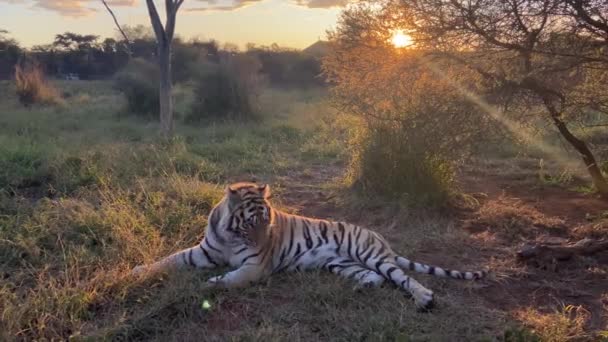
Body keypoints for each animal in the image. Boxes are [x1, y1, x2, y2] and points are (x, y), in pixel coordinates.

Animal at [132, 182, 484, 310]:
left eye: (267, 222)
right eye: (251, 222)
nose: (264, 239)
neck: (233, 236)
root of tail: (378, 236)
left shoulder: (254, 266)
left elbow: (228, 280)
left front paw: (207, 285)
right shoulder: (204, 251)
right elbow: (170, 259)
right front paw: (138, 270)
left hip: (369, 254)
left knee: (403, 277)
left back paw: (424, 299)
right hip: (341, 263)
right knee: (375, 277)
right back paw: (360, 289)